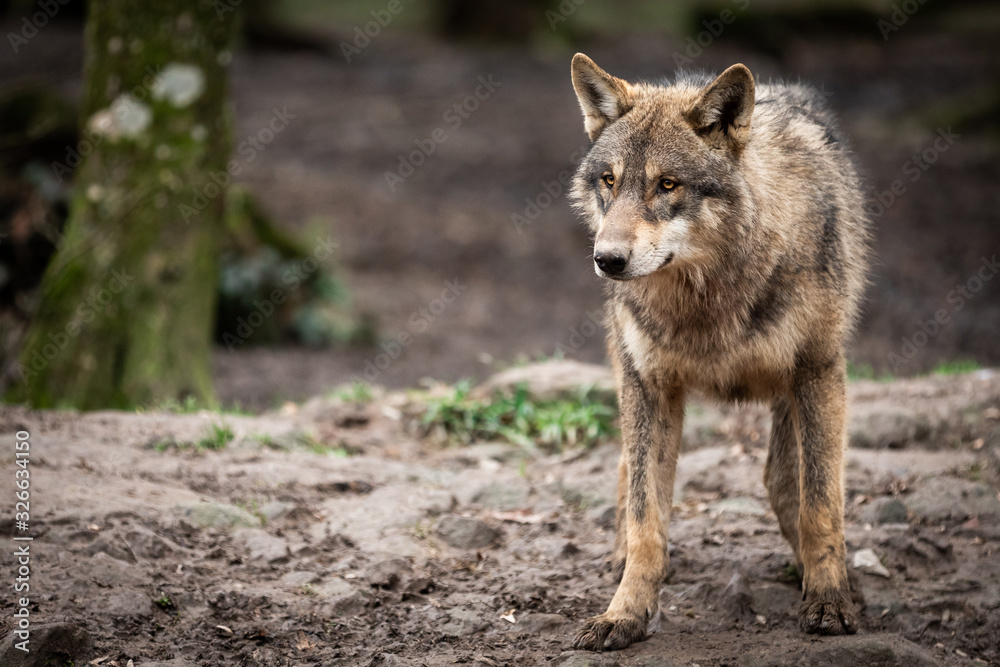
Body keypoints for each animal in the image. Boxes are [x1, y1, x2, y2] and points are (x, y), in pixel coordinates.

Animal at [567, 54, 870, 650]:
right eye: (610, 180)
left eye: (667, 184)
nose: (607, 260)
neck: (706, 297)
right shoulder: (649, 385)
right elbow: (646, 519)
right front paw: (625, 613)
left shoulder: (819, 371)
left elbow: (822, 505)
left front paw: (829, 601)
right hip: (629, 377)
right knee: (628, 470)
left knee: (784, 482)